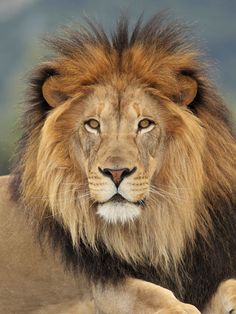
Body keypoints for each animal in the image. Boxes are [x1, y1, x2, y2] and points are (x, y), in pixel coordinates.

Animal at [0, 13, 235, 312]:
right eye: (92, 124)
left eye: (145, 124)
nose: (116, 172)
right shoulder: (97, 284)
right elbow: (145, 291)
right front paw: (181, 307)